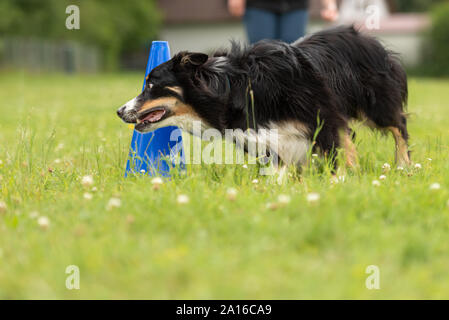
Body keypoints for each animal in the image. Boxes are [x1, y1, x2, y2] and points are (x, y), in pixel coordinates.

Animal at [116, 25, 410, 170]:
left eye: (151, 85)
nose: (119, 111)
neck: (231, 88)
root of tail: (363, 36)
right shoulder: (269, 138)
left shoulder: (322, 116)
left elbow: (336, 151)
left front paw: (340, 181)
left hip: (374, 103)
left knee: (399, 126)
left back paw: (404, 165)